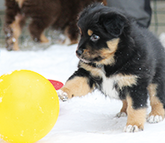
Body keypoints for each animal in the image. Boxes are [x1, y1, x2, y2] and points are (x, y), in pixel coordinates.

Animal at [57, 3, 165, 132]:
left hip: (157, 79)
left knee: (157, 97)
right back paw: (123, 112)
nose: (78, 52)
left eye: (95, 36)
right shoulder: (87, 74)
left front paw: (133, 125)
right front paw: (62, 92)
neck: (110, 61)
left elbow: (136, 107)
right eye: (81, 33)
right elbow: (74, 82)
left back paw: (156, 115)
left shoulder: (135, 83)